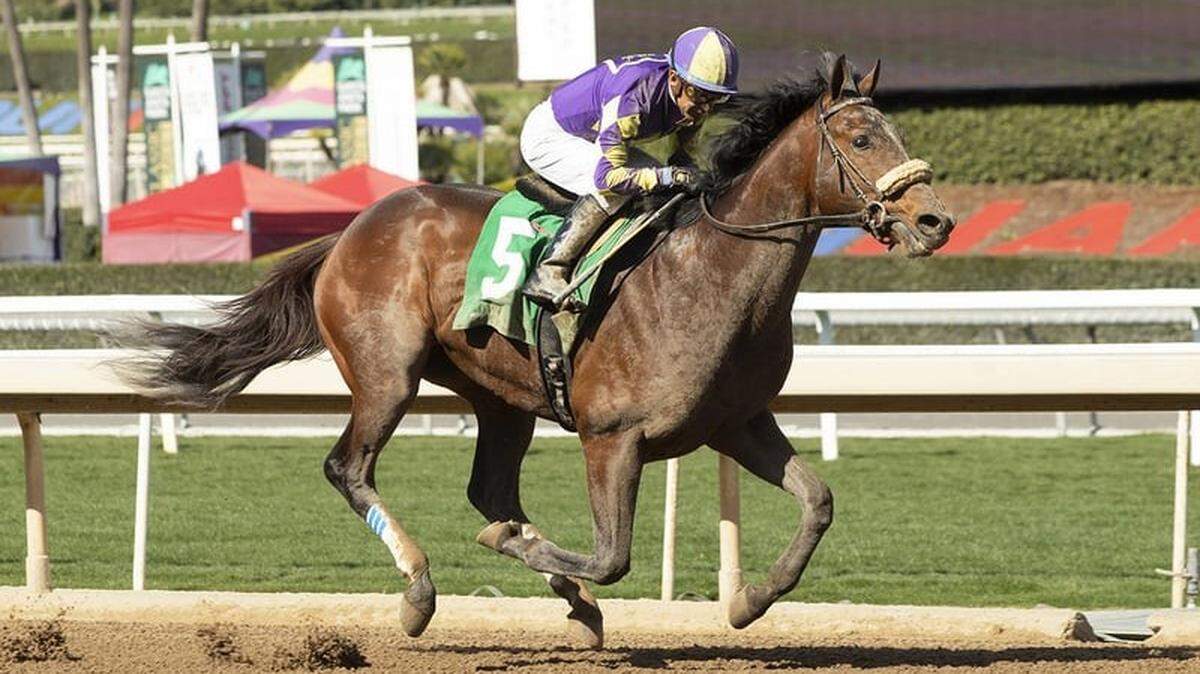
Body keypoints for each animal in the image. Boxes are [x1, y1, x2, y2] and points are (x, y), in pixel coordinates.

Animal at [125, 54, 954, 647]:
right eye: (861, 138)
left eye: (896, 133)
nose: (935, 221)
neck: (710, 273)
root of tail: (355, 226)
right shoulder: (611, 438)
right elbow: (612, 556)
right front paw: (523, 553)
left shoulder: (738, 423)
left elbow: (818, 502)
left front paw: (749, 600)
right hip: (387, 375)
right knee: (349, 468)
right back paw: (420, 591)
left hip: (500, 398)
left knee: (489, 488)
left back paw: (565, 597)